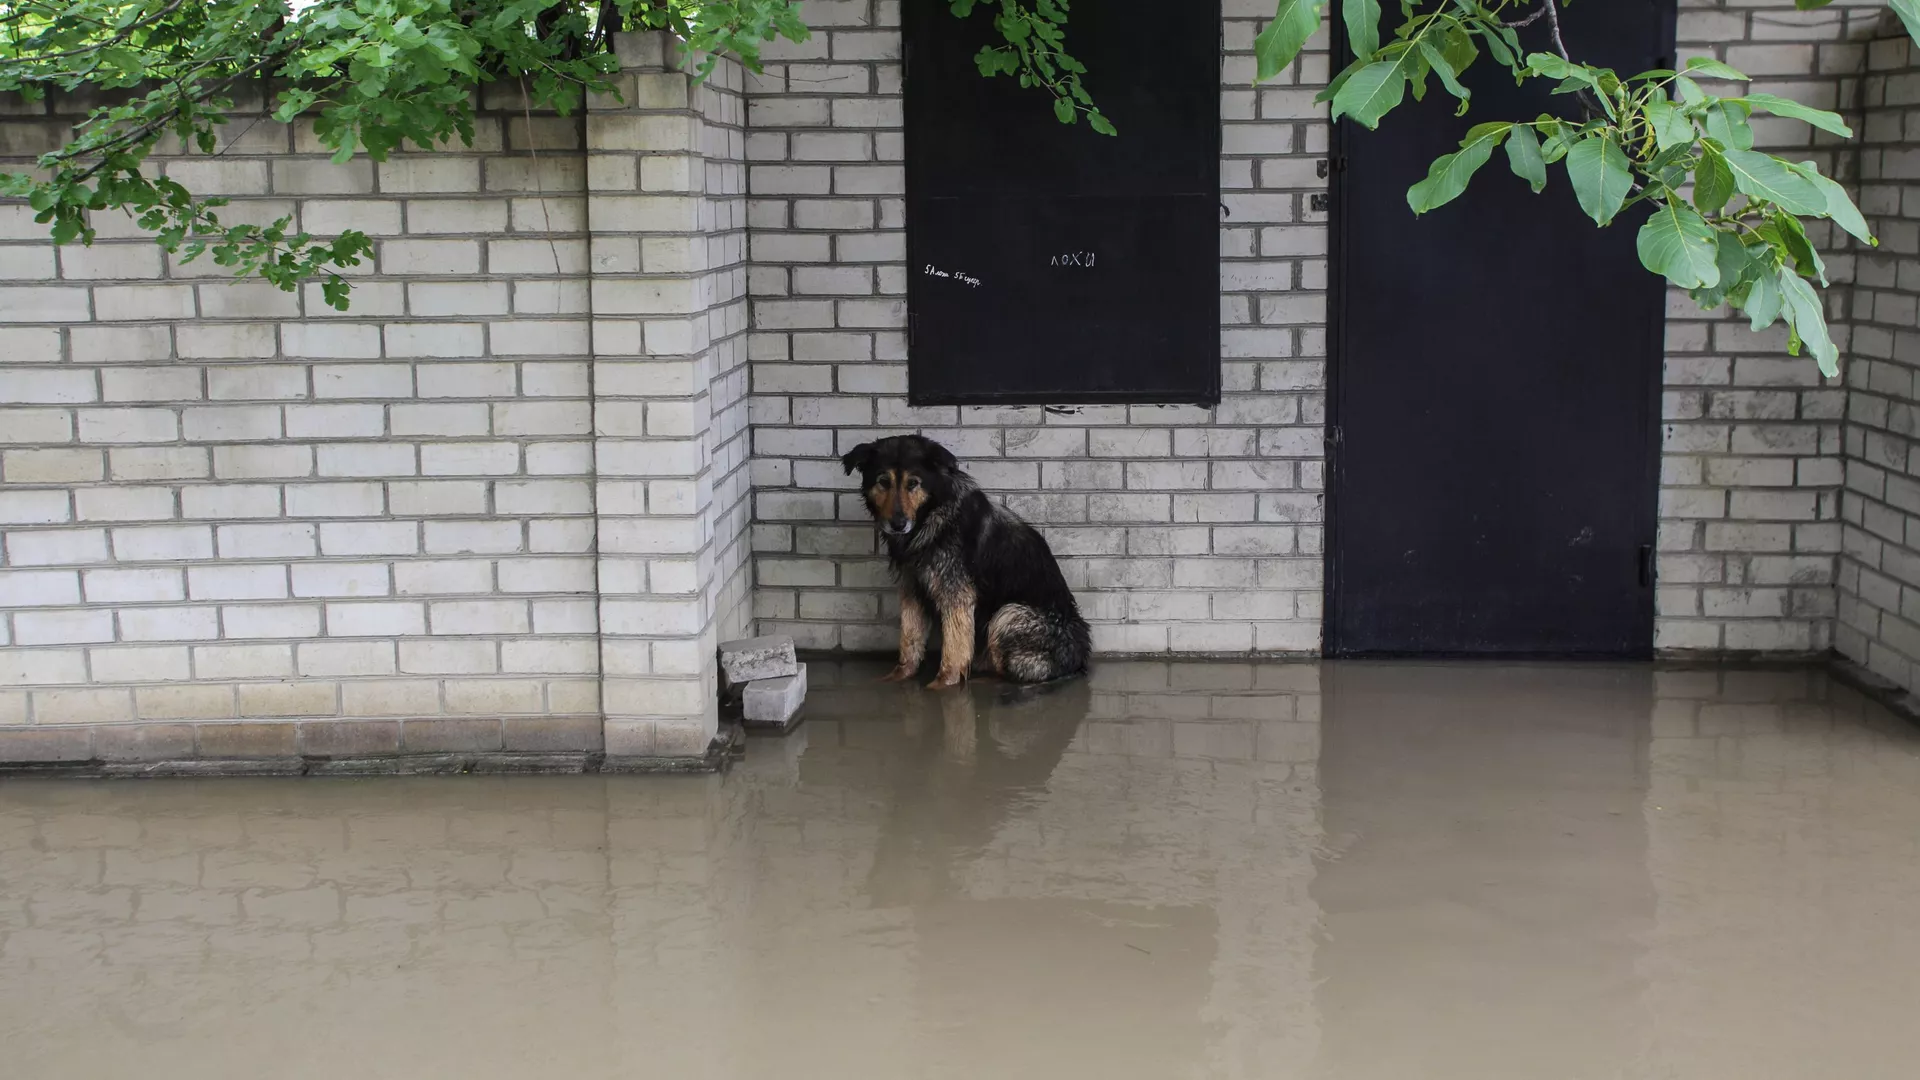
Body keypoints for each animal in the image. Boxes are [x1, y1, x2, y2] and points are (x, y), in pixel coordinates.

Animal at [844, 432, 1098, 684]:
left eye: (913, 483)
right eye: (883, 482)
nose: (898, 524)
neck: (933, 515)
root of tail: (1079, 659)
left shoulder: (956, 595)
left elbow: (954, 646)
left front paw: (943, 684)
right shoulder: (912, 590)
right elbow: (909, 639)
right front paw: (899, 676)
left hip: (1008, 615)